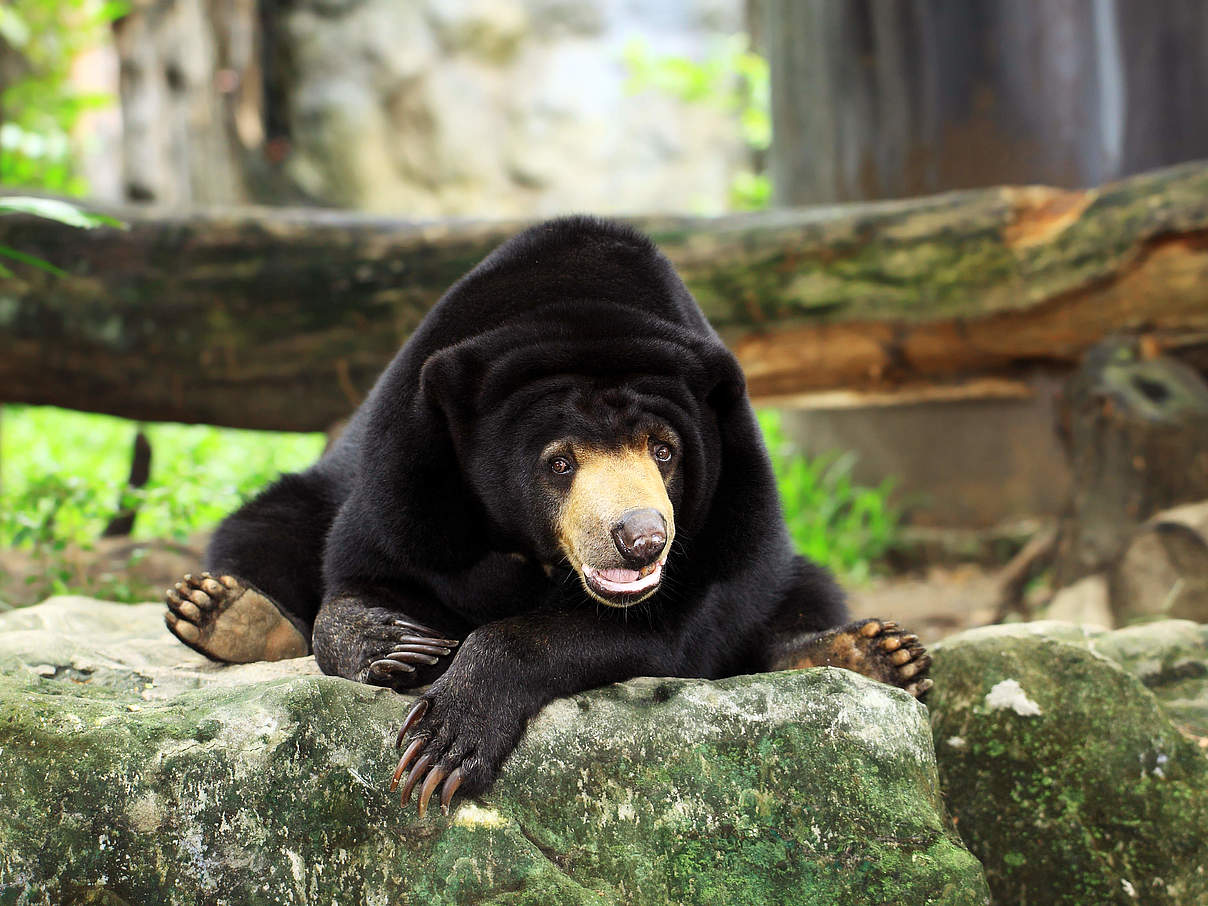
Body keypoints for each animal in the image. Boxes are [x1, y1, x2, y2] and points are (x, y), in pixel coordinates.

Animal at [163, 216, 932, 821]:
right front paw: (397, 645)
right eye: (559, 463)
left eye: (665, 450)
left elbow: (665, 625)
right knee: (267, 523)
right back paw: (223, 611)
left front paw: (446, 739)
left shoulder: (735, 498)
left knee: (801, 590)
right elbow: (360, 571)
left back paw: (874, 654)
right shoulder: (408, 464)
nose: (640, 540)